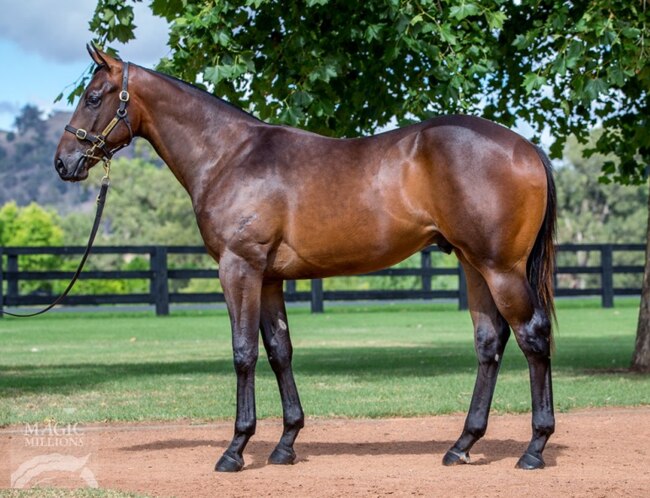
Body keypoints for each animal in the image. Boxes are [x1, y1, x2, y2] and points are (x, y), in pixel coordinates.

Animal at [53, 45, 556, 470]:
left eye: (93, 97)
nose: (63, 162)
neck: (229, 155)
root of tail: (527, 147)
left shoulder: (238, 268)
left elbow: (243, 352)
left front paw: (235, 449)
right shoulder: (269, 278)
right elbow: (280, 352)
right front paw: (285, 444)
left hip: (500, 269)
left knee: (532, 336)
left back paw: (534, 448)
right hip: (474, 265)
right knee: (489, 343)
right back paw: (462, 445)